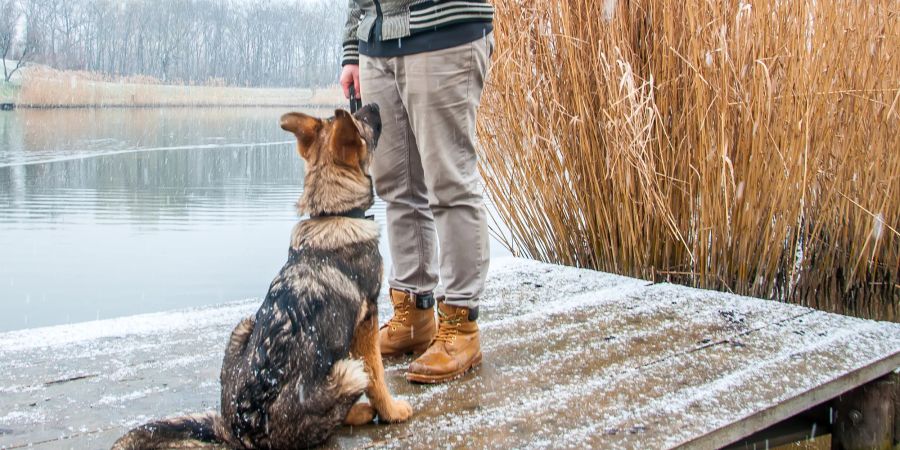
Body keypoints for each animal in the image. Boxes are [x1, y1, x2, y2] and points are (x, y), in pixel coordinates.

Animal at [110, 103, 414, 448]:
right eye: (363, 123)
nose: (373, 105)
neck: (331, 215)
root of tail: (236, 431)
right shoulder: (367, 320)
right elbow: (377, 375)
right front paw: (392, 411)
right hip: (347, 372)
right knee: (338, 412)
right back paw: (360, 412)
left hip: (243, 325)